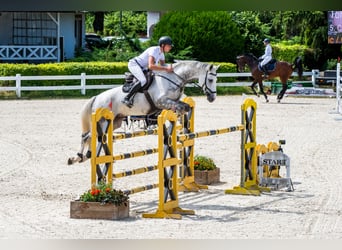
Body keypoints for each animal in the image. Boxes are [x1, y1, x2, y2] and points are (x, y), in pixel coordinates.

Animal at [68, 60, 220, 165]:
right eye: (210, 79)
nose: (212, 98)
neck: (174, 79)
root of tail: (97, 97)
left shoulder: (172, 102)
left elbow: (185, 107)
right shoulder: (162, 101)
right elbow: (181, 108)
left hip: (115, 122)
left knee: (91, 136)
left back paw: (86, 155)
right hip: (103, 120)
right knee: (87, 136)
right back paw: (77, 157)